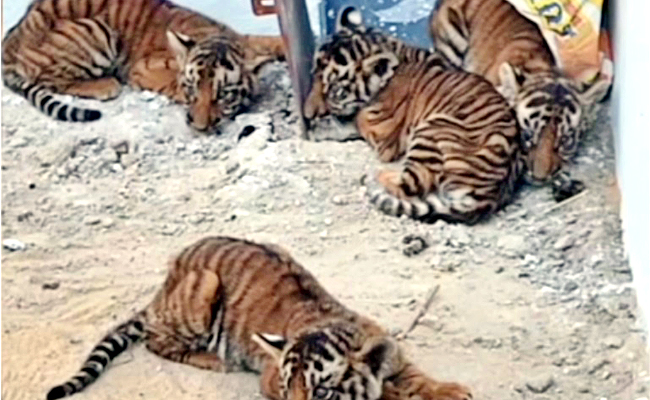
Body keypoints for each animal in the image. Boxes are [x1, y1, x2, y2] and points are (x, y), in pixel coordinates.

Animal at [1, 0, 286, 131]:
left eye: (223, 94)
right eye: (192, 88)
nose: (199, 127)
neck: (217, 36)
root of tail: (10, 39)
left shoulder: (247, 40)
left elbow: (269, 40)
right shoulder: (143, 68)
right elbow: (171, 82)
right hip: (96, 29)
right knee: (45, 77)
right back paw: (105, 85)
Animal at [46, 236, 472, 400]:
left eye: (322, 392)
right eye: (286, 388)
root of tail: (161, 288)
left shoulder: (391, 351)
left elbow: (415, 375)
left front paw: (449, 389)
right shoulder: (268, 379)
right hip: (204, 286)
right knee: (157, 340)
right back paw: (212, 359)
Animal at [304, 7, 522, 224]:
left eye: (335, 91)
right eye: (313, 74)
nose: (307, 114)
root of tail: (487, 197)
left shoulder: (382, 136)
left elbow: (357, 118)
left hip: (431, 130)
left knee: (409, 186)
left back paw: (373, 177)